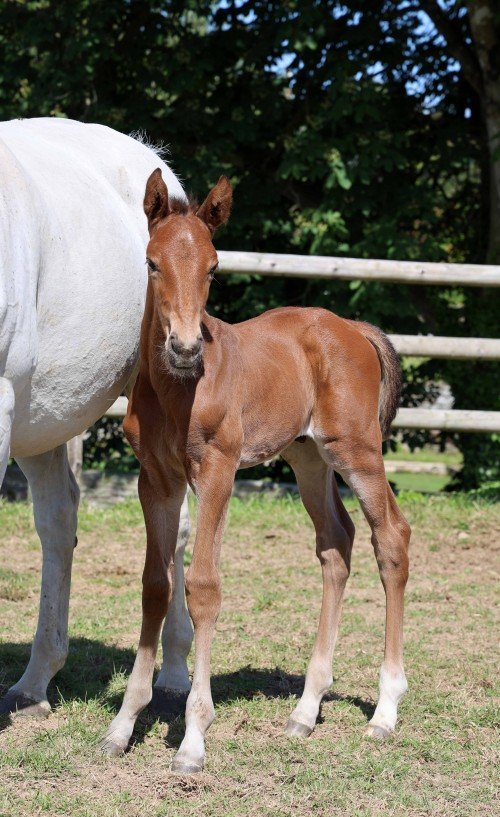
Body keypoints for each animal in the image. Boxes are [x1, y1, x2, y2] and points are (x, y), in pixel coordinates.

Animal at [103, 168, 411, 773]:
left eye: (213, 267)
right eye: (151, 263)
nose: (184, 347)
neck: (176, 390)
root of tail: (352, 328)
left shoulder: (217, 470)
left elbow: (202, 586)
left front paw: (193, 739)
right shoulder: (157, 480)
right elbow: (156, 585)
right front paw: (123, 724)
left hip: (356, 450)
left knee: (391, 535)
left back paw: (386, 710)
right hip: (307, 456)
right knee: (336, 543)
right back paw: (305, 711)